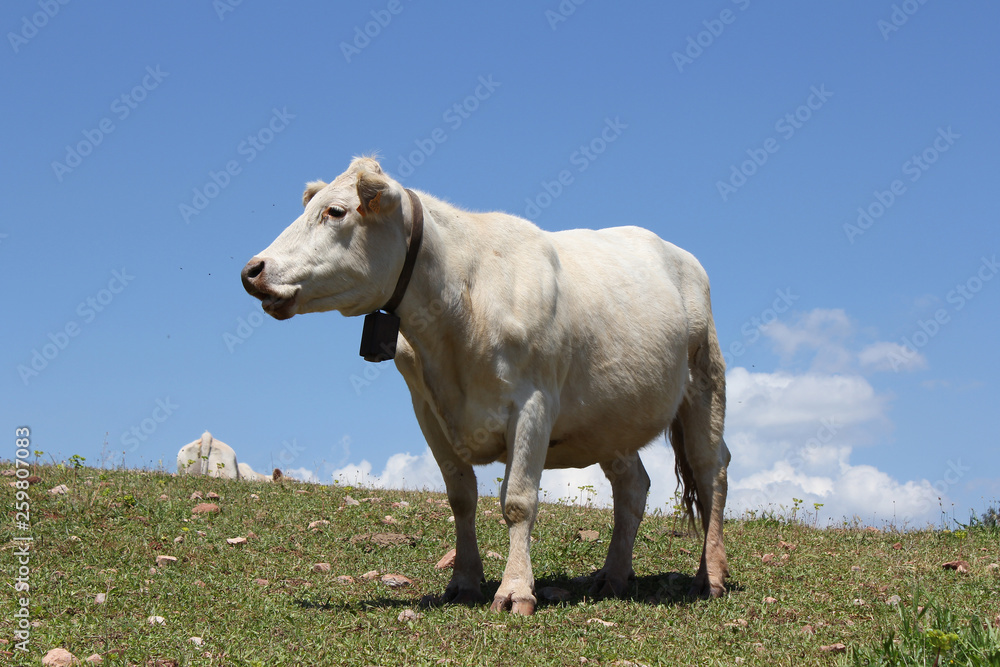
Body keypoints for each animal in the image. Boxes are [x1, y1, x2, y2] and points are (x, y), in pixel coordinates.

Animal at [241, 157, 730, 614]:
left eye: (336, 211)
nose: (252, 269)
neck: (459, 305)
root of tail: (678, 255)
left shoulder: (533, 404)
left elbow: (517, 501)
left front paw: (515, 591)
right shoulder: (427, 410)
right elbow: (461, 497)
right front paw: (463, 582)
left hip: (705, 383)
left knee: (712, 471)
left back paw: (710, 577)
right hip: (612, 422)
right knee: (633, 486)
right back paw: (612, 577)